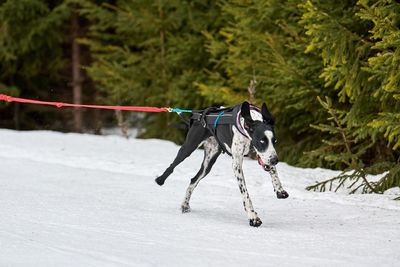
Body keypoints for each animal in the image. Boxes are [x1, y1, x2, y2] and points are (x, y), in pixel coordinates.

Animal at [155, 101, 290, 227]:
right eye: (262, 141)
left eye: (275, 141)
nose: (276, 160)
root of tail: (200, 116)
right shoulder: (237, 164)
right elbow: (245, 193)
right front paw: (253, 217)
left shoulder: (266, 155)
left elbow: (272, 170)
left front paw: (279, 189)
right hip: (188, 148)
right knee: (172, 166)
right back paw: (160, 180)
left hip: (208, 163)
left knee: (194, 180)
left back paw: (185, 204)